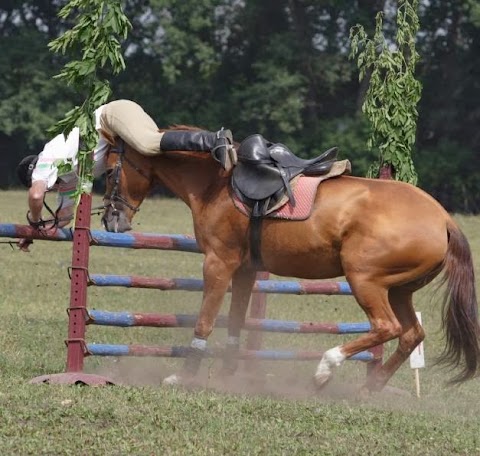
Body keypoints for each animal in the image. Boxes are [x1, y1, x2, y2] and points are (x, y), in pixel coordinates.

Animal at [99, 127, 478, 392]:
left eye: (110, 170)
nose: (112, 221)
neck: (216, 183)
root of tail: (443, 218)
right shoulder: (245, 270)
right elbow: (235, 323)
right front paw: (227, 376)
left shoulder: (219, 263)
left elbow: (205, 321)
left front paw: (183, 377)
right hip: (399, 289)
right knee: (411, 334)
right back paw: (369, 387)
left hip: (365, 279)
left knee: (387, 327)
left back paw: (325, 370)